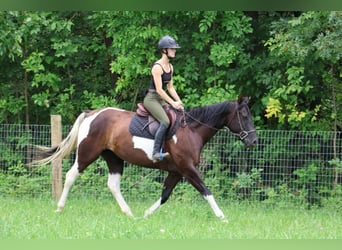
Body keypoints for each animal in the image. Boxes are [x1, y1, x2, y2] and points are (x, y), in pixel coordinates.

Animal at [32, 95, 256, 221]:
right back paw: (59, 208)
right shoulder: (188, 169)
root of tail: (91, 114)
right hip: (87, 154)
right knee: (71, 175)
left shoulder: (177, 171)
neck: (190, 130)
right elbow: (206, 191)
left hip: (114, 159)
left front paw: (147, 214)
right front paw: (221, 216)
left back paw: (129, 214)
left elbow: (165, 195)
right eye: (244, 115)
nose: (253, 140)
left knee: (113, 185)